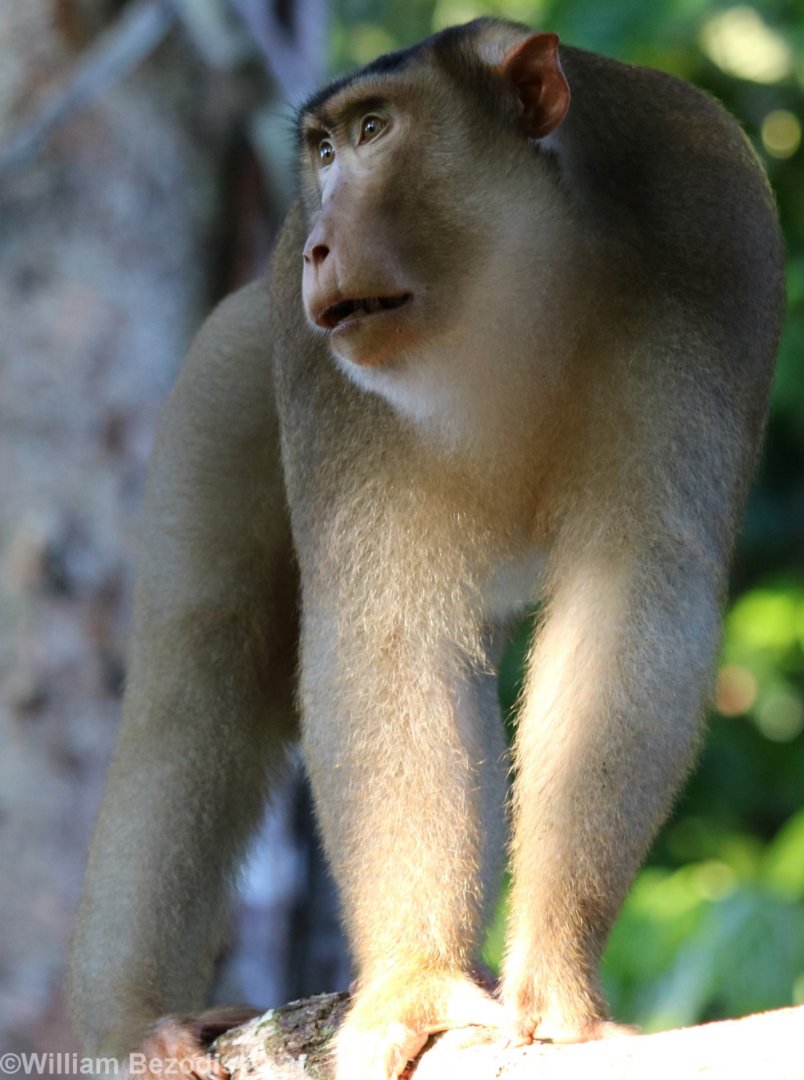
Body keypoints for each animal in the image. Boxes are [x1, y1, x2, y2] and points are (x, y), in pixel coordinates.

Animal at [68, 17, 784, 1080]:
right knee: (196, 677)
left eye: (375, 131)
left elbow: (638, 588)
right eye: (323, 151)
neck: (521, 283)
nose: (319, 241)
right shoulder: (314, 361)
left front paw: (553, 983)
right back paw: (134, 1022)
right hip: (235, 358)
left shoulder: (714, 240)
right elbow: (385, 630)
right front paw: (413, 982)